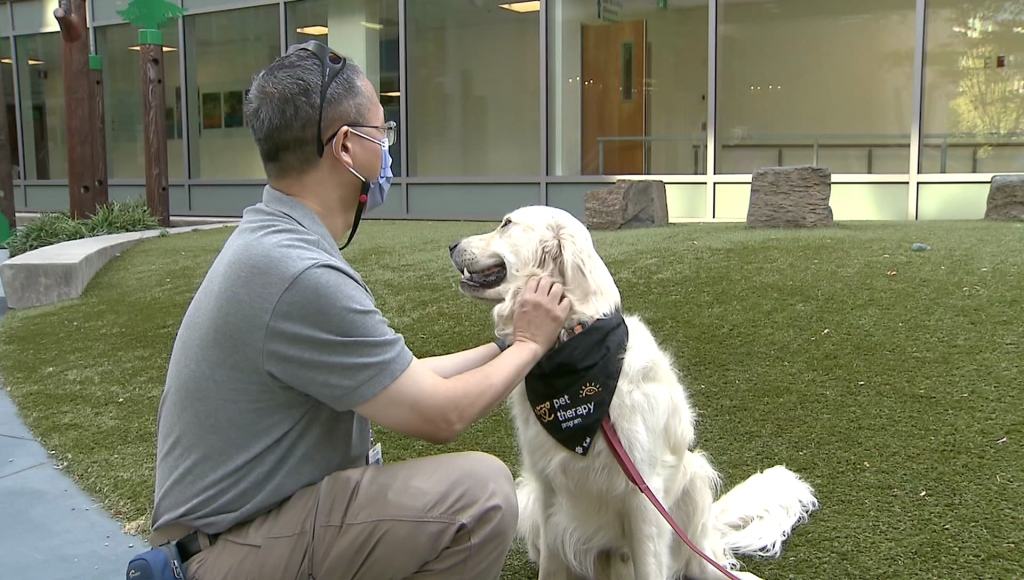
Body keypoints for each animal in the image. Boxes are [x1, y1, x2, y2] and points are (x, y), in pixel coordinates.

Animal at [452, 208, 819, 580]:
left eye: (506, 224)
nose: (452, 244)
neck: (574, 345)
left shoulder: (642, 492)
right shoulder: (548, 486)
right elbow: (550, 568)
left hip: (694, 476)